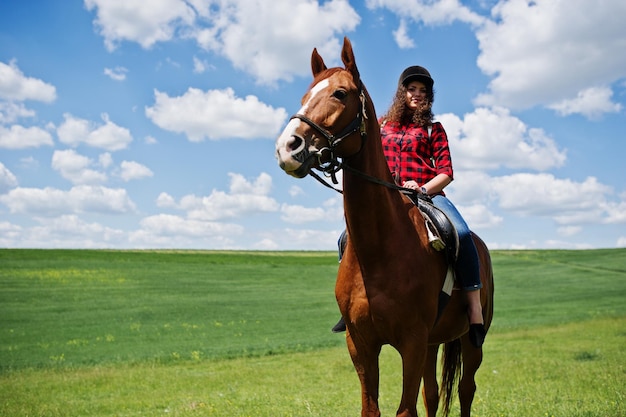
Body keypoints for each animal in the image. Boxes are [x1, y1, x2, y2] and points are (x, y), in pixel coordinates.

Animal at [272, 36, 492, 416]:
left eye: (340, 93)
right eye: (304, 96)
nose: (288, 146)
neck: (380, 249)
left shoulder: (412, 342)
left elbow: (406, 409)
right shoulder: (361, 344)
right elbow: (372, 407)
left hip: (469, 339)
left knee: (466, 389)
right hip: (434, 342)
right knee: (433, 393)